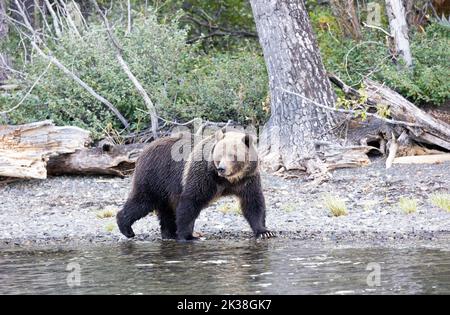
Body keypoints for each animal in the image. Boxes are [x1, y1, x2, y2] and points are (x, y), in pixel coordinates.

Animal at [115, 128, 274, 242]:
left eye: (233, 156)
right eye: (219, 155)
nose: (221, 168)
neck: (229, 181)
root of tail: (144, 150)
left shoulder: (248, 180)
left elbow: (253, 203)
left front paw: (264, 232)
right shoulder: (203, 175)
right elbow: (191, 201)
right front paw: (188, 235)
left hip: (165, 186)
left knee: (165, 210)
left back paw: (169, 233)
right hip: (156, 176)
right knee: (142, 201)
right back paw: (126, 228)